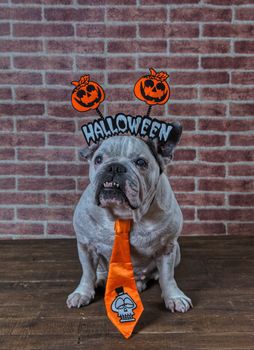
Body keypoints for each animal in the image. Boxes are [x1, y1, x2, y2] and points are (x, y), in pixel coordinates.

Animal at [67, 123, 192, 312]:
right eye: (98, 159)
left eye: (141, 162)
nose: (114, 167)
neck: (123, 213)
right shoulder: (86, 246)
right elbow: (87, 273)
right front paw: (82, 293)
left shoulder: (167, 247)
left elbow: (168, 276)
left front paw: (174, 297)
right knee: (99, 271)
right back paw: (102, 279)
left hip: (176, 251)